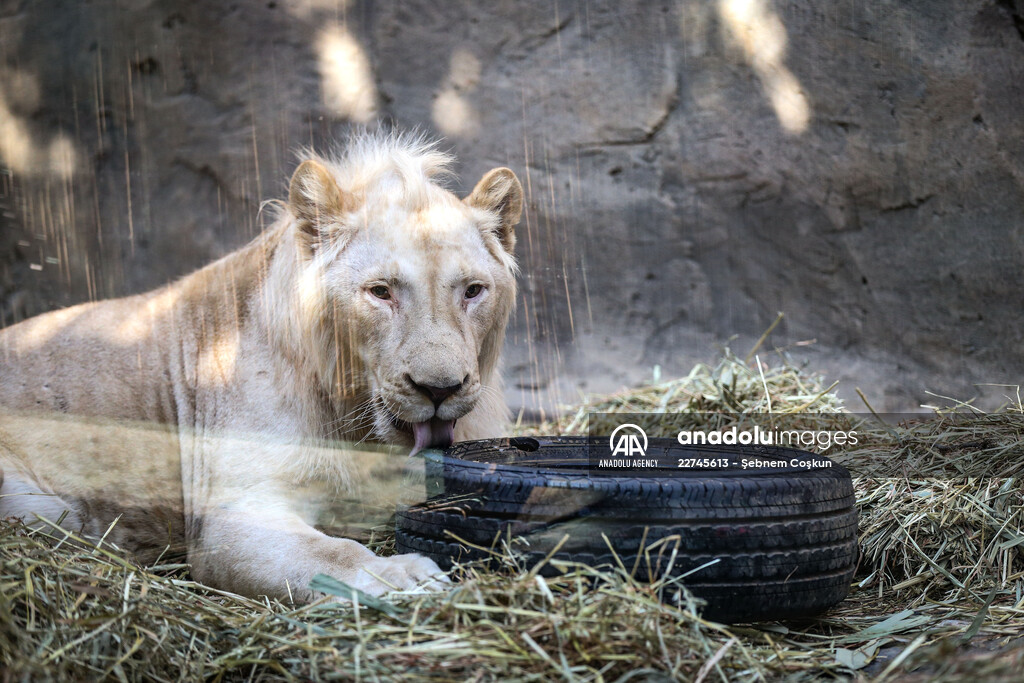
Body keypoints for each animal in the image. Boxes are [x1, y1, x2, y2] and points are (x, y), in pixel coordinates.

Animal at [0, 132, 523, 600]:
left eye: (473, 291)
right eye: (381, 292)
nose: (440, 389)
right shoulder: (234, 518)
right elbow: (333, 554)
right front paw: (406, 576)